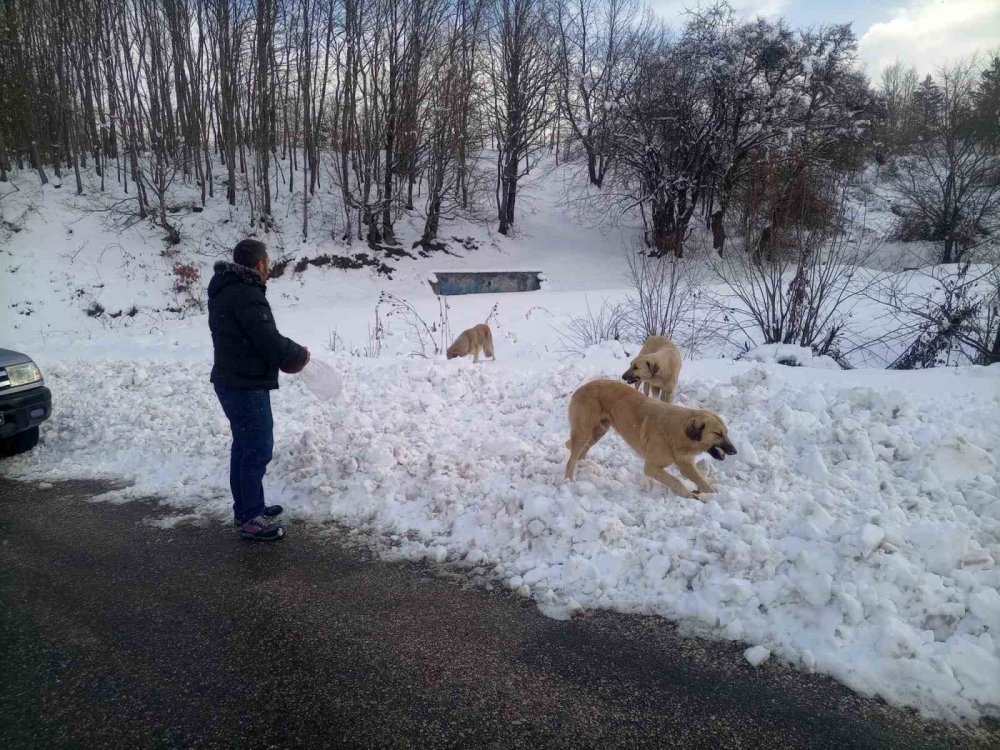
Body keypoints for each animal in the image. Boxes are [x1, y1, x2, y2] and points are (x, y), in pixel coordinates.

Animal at [568, 382, 740, 500]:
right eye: (718, 433)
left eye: (726, 432)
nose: (734, 451)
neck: (677, 432)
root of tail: (582, 387)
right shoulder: (651, 467)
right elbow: (676, 481)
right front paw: (690, 496)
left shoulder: (686, 464)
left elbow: (702, 481)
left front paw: (715, 494)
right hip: (583, 432)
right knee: (572, 457)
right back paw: (569, 480)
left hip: (598, 432)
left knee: (580, 451)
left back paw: (583, 466)